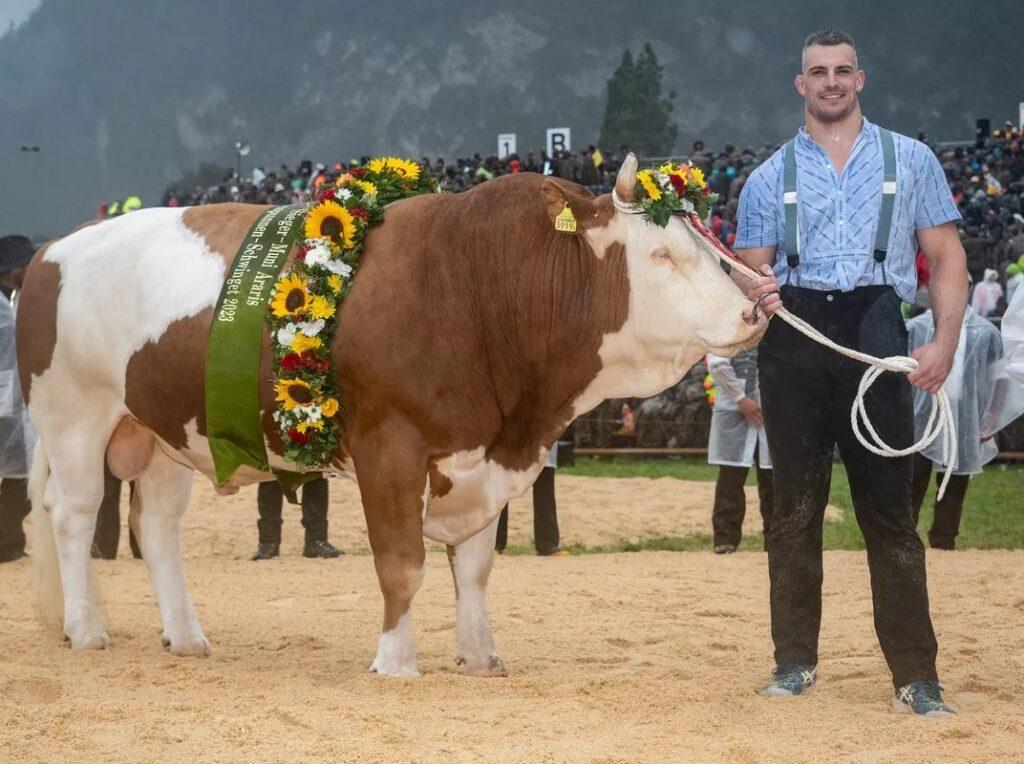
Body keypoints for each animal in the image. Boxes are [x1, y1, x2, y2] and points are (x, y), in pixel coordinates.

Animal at [19, 154, 765, 671]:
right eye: (661, 253)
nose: (754, 308)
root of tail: (53, 247)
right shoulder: (389, 446)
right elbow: (403, 562)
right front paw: (395, 662)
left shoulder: (482, 455)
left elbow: (475, 565)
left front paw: (480, 656)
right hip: (74, 415)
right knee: (75, 514)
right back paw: (87, 630)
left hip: (162, 431)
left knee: (157, 526)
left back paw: (187, 636)